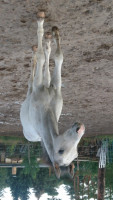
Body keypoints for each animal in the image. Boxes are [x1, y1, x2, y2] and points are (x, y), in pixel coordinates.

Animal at [20, 12, 85, 178]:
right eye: (61, 151)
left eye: (75, 154)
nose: (80, 128)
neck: (47, 109)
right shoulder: (48, 87)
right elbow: (51, 57)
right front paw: (49, 31)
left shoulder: (49, 87)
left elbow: (51, 57)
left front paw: (48, 31)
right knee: (37, 75)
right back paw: (44, 44)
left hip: (37, 87)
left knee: (39, 77)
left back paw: (46, 42)